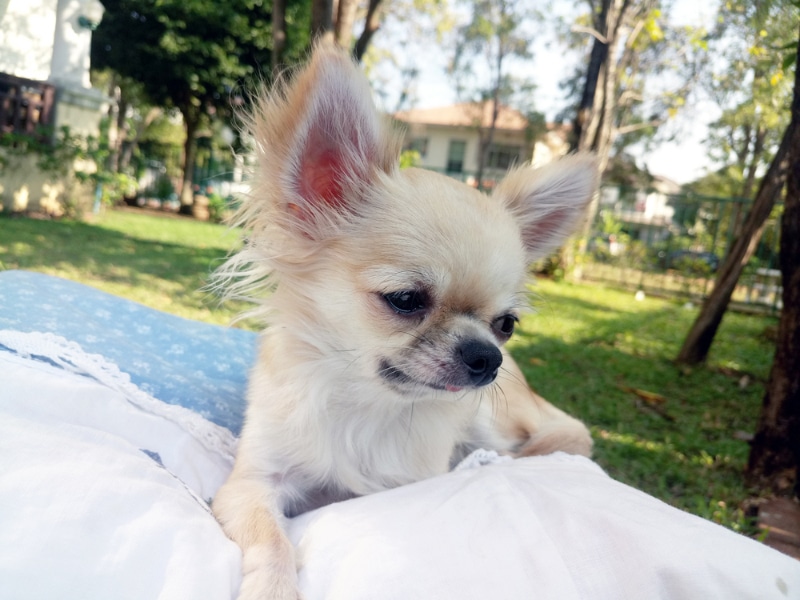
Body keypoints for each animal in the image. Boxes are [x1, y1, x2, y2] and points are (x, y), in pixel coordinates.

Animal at [212, 43, 600, 600]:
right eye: (406, 299)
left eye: (506, 324)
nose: (488, 357)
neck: (368, 408)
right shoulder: (251, 484)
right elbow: (272, 540)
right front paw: (273, 589)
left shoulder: (405, 487)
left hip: (492, 422)